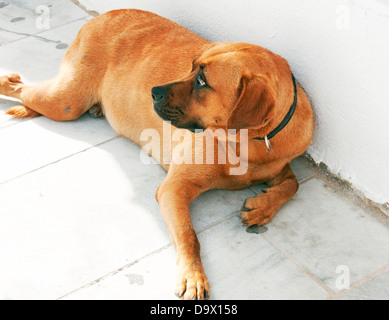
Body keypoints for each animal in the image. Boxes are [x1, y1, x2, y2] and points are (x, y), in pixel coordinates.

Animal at [0, 9, 312, 300]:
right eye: (192, 67)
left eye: (201, 81)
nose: (153, 91)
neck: (247, 143)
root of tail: (106, 14)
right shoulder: (175, 188)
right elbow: (189, 235)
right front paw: (194, 274)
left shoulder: (280, 166)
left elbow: (293, 184)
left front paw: (263, 207)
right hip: (64, 102)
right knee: (23, 88)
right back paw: (8, 81)